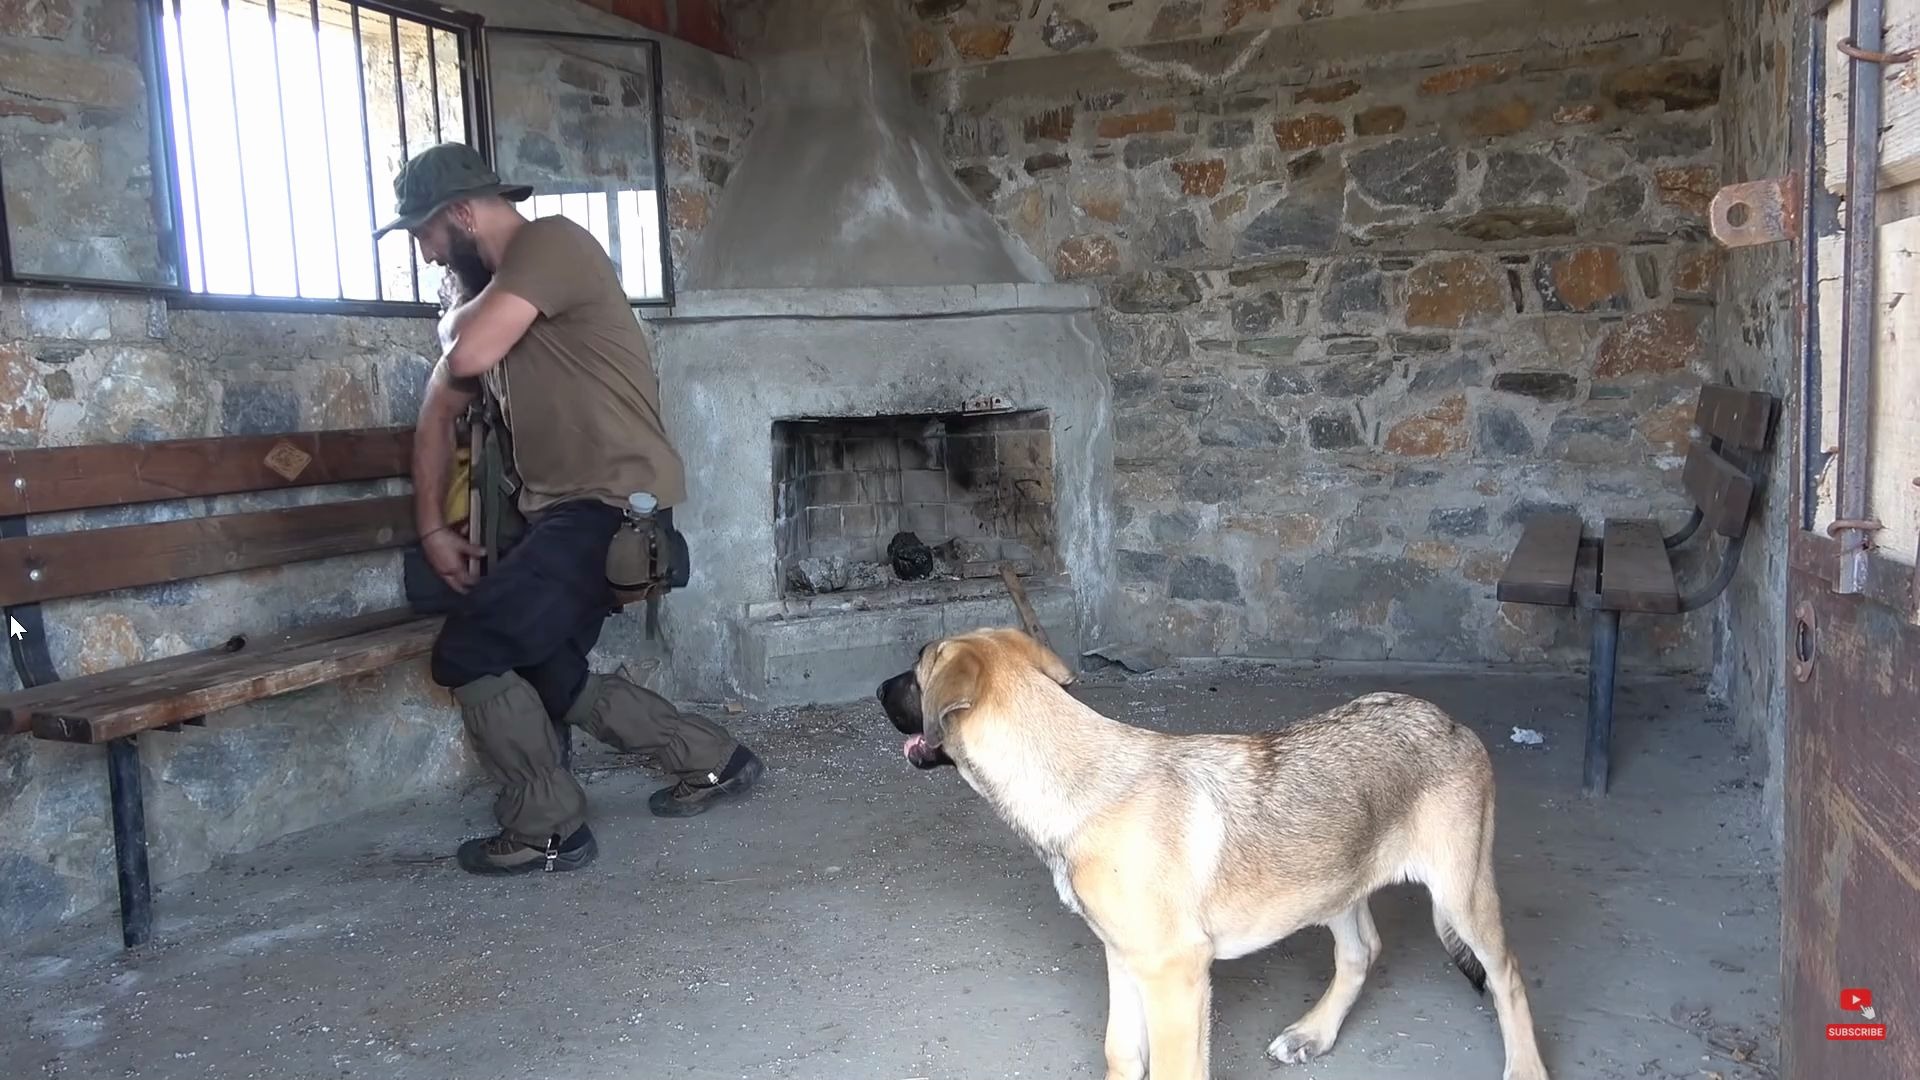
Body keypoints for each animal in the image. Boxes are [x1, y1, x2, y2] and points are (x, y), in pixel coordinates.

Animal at [879, 622, 1551, 1076]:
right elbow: (1121, 1053)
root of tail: (1448, 721)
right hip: (1330, 878)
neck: (1083, 785)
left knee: (1508, 975)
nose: (879, 689)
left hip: (1461, 893)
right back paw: (1313, 1033)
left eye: (916, 671)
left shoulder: (1176, 974)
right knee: (1361, 952)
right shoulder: (1124, 958)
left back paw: (1525, 1067)